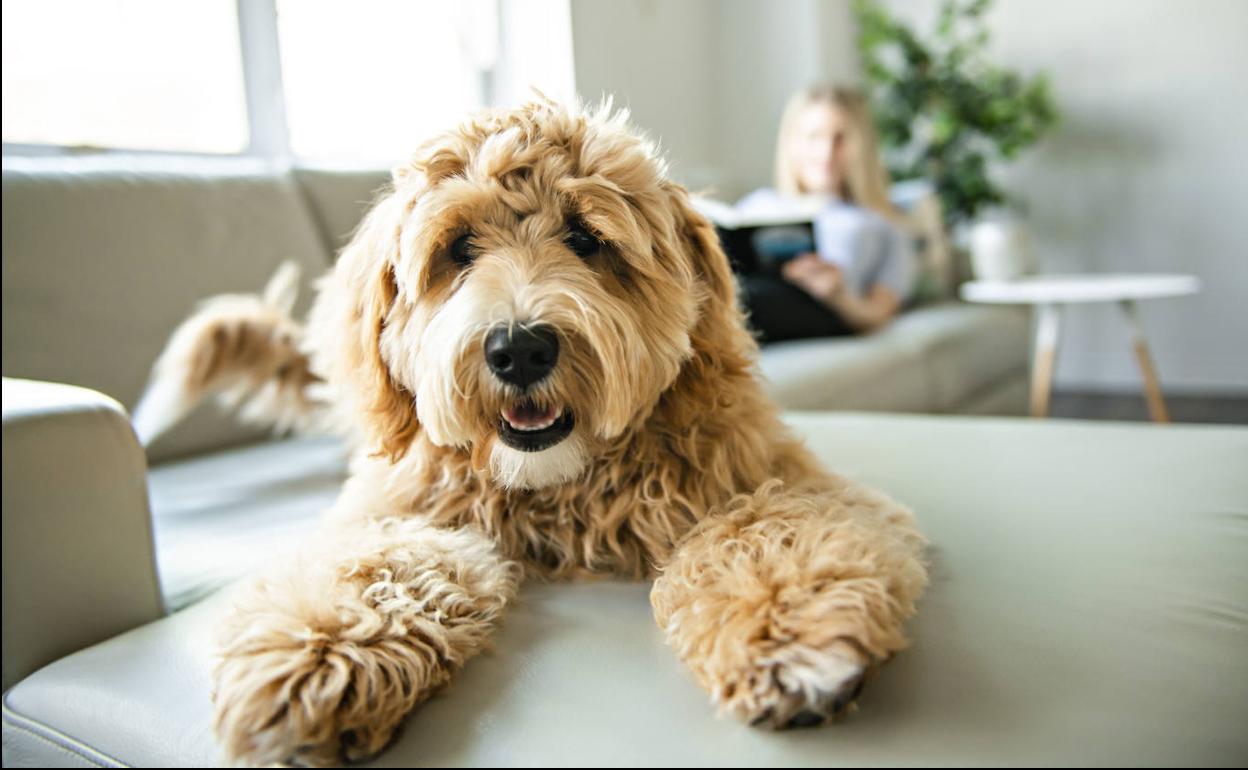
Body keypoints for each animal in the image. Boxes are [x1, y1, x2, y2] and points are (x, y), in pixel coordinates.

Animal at [141, 99, 933, 763]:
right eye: (459, 248)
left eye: (586, 238)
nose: (518, 349)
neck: (560, 488)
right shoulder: (397, 510)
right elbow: (378, 563)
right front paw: (317, 658)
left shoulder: (778, 478)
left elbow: (766, 529)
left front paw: (787, 632)